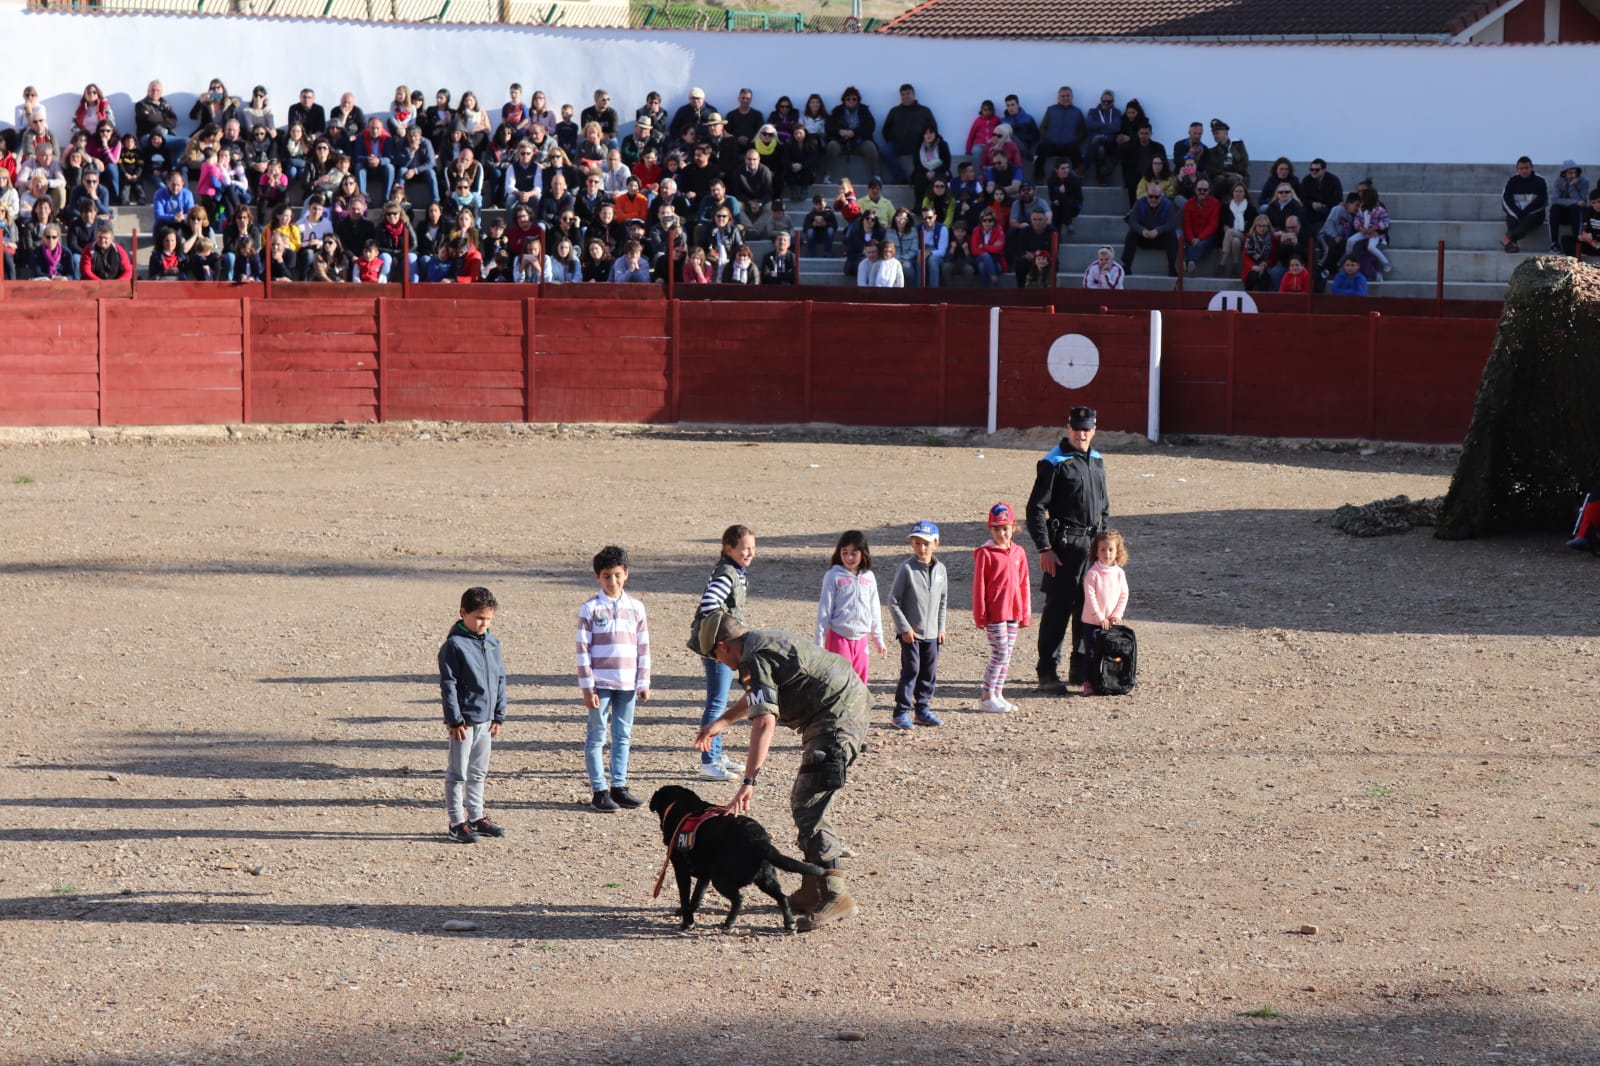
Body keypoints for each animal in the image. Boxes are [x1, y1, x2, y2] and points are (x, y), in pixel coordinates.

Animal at [649, 781, 825, 928]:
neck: (682, 806)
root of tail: (758, 840)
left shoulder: (682, 870)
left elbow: (686, 898)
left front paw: (687, 922)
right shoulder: (705, 875)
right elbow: (696, 896)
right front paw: (689, 912)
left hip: (721, 880)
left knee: (739, 899)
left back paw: (729, 923)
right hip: (765, 878)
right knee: (781, 896)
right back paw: (789, 923)